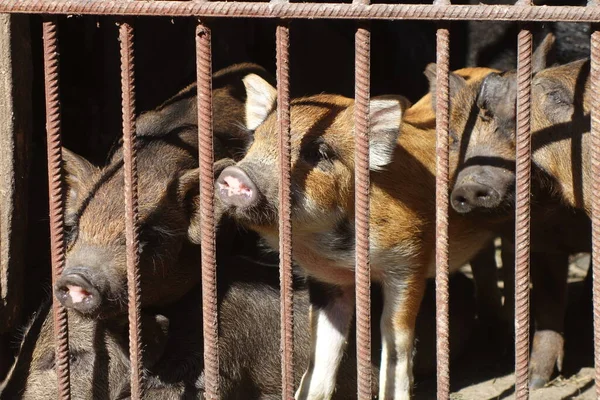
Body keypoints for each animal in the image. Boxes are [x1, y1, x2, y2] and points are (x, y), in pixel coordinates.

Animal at [214, 70, 496, 398]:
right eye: (254, 141)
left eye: (318, 153)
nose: (234, 174)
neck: (335, 250)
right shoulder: (327, 279)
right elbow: (323, 347)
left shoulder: (410, 258)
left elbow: (395, 336)